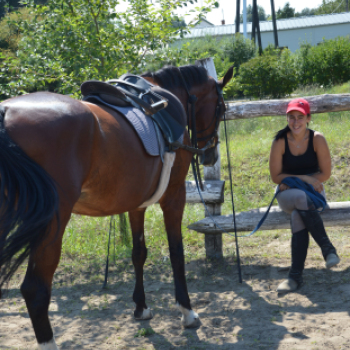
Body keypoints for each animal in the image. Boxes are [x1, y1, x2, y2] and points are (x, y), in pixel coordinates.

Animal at [0, 64, 232, 348]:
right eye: (221, 108)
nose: (210, 154)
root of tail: (5, 113)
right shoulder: (174, 197)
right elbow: (177, 253)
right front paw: (186, 311)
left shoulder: (136, 203)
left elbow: (138, 253)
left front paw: (141, 307)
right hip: (52, 223)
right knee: (36, 289)